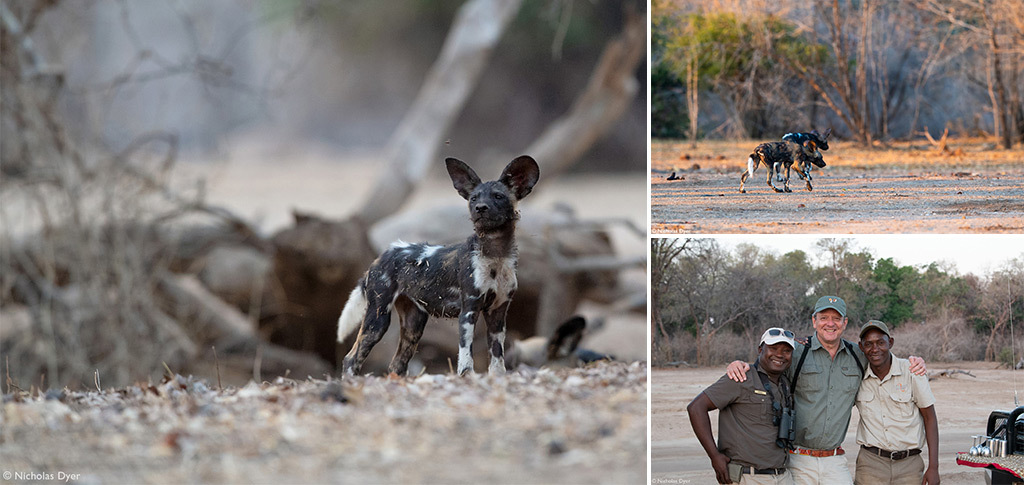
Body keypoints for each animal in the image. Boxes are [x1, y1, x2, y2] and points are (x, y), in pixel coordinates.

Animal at [337, 157, 544, 376]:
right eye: (473, 198)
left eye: (498, 196)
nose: (480, 208)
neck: (495, 254)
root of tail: (381, 257)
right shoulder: (468, 312)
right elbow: (465, 358)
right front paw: (467, 377)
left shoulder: (498, 314)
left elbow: (497, 360)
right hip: (378, 320)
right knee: (351, 359)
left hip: (414, 325)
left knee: (396, 365)